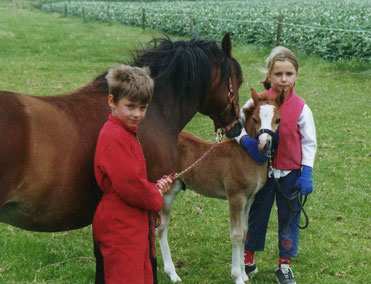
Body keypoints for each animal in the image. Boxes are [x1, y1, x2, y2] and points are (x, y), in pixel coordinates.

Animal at [158, 89, 284, 284]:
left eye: (278, 119)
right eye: (255, 119)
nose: (265, 144)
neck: (247, 154)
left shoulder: (249, 199)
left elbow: (245, 231)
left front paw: (244, 274)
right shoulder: (236, 197)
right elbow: (236, 235)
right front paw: (237, 276)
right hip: (168, 190)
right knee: (161, 227)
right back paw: (172, 273)